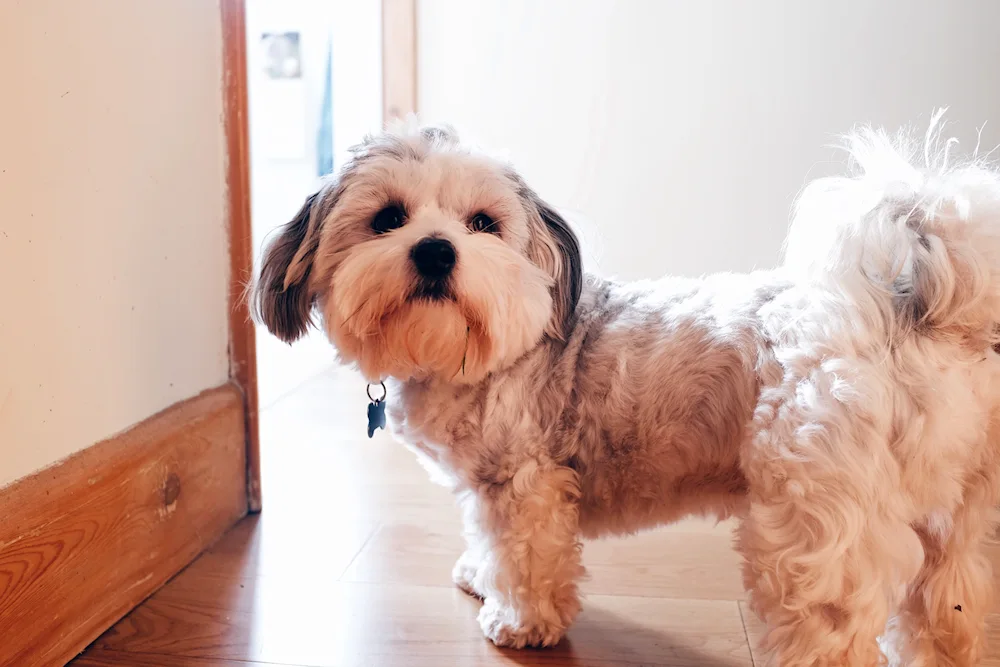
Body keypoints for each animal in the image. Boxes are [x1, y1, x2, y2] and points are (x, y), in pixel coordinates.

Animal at [254, 116, 1000, 667]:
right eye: (387, 218)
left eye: (483, 224)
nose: (436, 250)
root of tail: (910, 315)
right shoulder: (485, 485)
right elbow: (483, 538)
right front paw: (475, 571)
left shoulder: (524, 484)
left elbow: (524, 560)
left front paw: (518, 620)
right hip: (963, 527)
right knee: (950, 610)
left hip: (816, 532)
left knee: (831, 628)